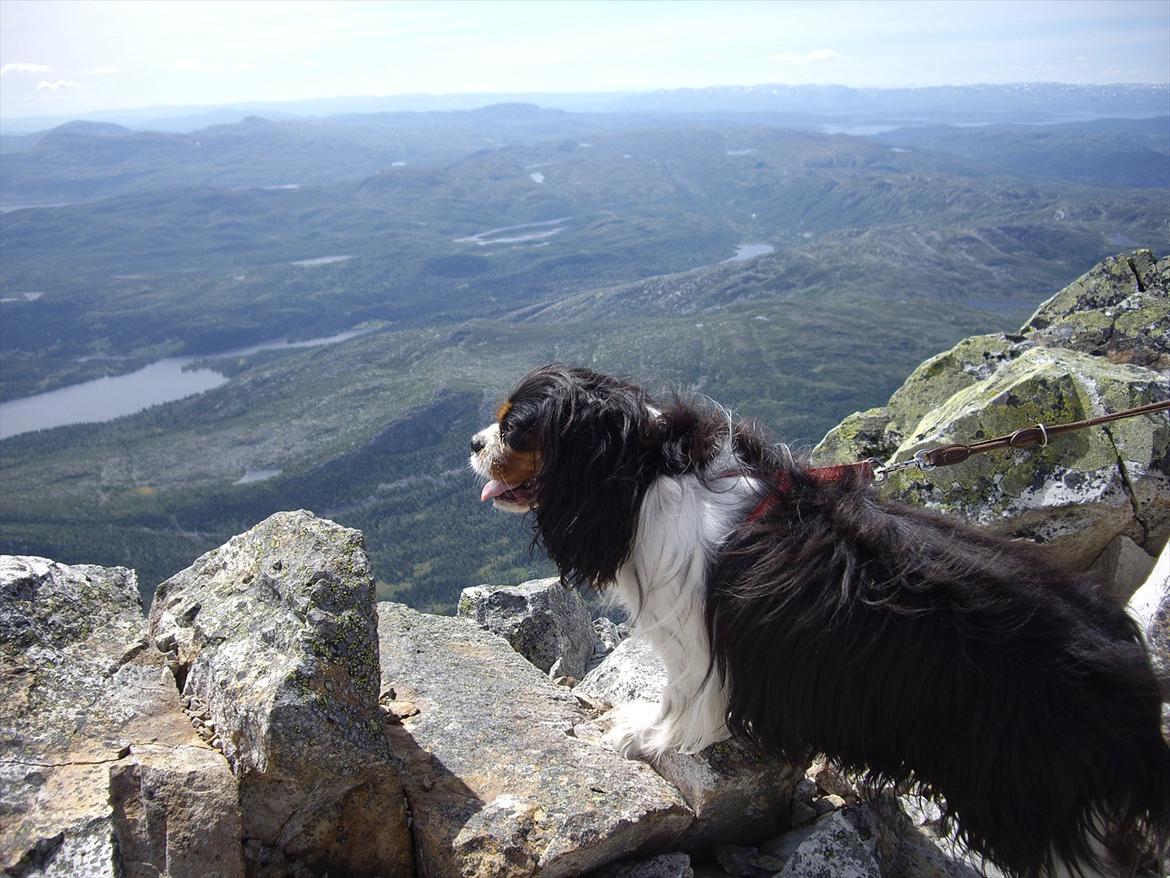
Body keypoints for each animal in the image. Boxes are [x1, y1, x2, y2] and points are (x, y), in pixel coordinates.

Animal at [467, 362, 1170, 875]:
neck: (645, 475)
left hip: (1027, 800)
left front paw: (642, 735)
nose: (473, 443)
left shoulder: (698, 641)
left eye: (514, 429)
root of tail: (1130, 673)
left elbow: (682, 703)